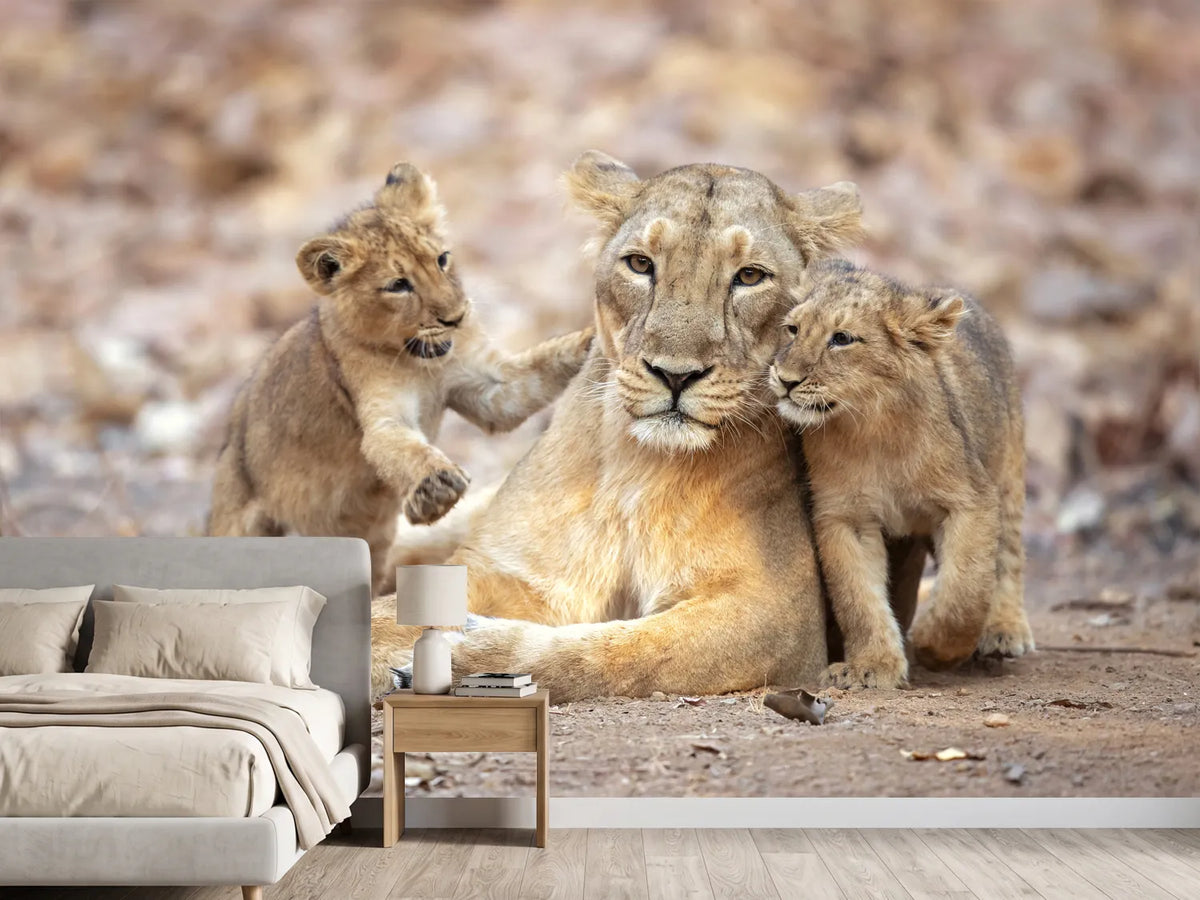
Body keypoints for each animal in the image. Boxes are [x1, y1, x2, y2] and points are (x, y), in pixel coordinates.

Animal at [208, 162, 593, 592]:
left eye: (442, 259)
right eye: (398, 285)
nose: (457, 317)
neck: (421, 364)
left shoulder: (486, 386)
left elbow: (534, 375)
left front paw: (595, 339)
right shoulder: (379, 415)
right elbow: (403, 448)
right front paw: (436, 487)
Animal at [372, 152, 929, 701]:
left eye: (750, 276)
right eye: (641, 264)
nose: (675, 374)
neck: (634, 464)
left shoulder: (779, 615)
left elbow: (627, 653)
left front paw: (468, 653)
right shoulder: (511, 571)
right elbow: (381, 615)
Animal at [770, 260, 1034, 689]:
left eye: (842, 339)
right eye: (792, 328)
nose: (785, 379)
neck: (869, 429)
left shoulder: (971, 500)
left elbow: (966, 586)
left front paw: (934, 646)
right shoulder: (846, 517)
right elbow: (859, 599)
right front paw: (871, 666)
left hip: (1009, 475)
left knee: (1008, 556)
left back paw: (1003, 631)